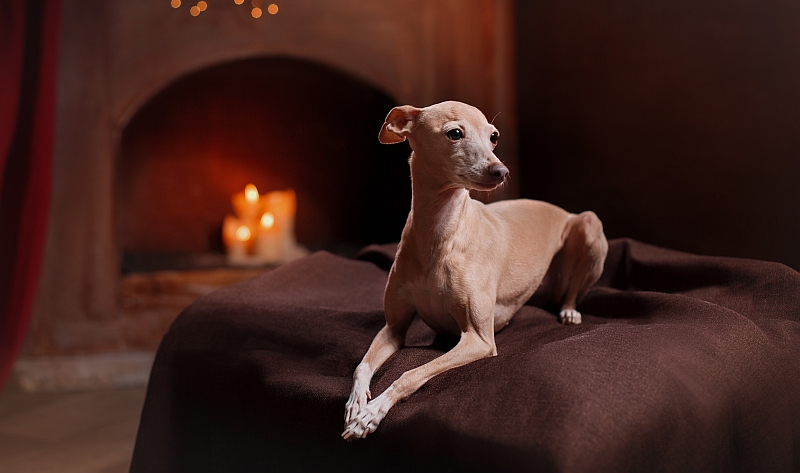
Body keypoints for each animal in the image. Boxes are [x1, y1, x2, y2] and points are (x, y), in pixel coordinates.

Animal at [340, 99, 608, 438]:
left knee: (572, 290)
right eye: (455, 133)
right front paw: (356, 404)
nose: (501, 171)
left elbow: (411, 373)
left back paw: (570, 311)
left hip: (588, 224)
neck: (440, 234)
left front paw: (372, 413)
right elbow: (362, 365)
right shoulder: (393, 328)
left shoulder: (478, 339)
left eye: (494, 136)